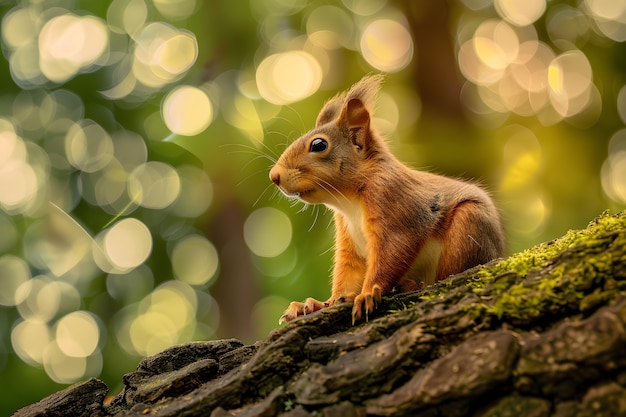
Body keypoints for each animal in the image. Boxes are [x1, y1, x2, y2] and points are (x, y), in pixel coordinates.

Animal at [266, 76, 504, 326]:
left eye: (319, 145)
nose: (274, 176)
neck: (349, 201)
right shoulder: (349, 240)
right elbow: (347, 274)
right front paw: (319, 304)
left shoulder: (393, 202)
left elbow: (392, 252)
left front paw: (367, 294)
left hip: (469, 225)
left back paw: (412, 285)